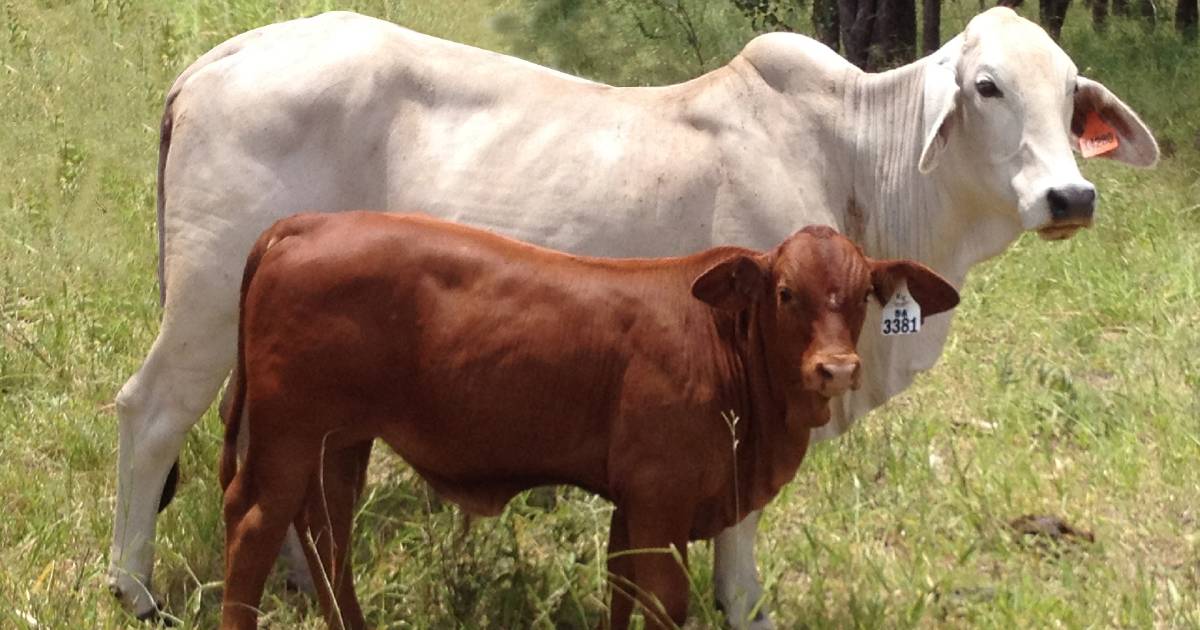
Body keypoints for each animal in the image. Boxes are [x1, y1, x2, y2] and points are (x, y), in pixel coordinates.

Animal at [220, 212, 960, 628]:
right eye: (785, 292)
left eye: (863, 295)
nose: (835, 369)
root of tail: (306, 223)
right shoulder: (660, 502)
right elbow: (664, 601)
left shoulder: (633, 507)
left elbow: (621, 591)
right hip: (288, 438)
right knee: (255, 532)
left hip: (340, 442)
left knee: (327, 535)